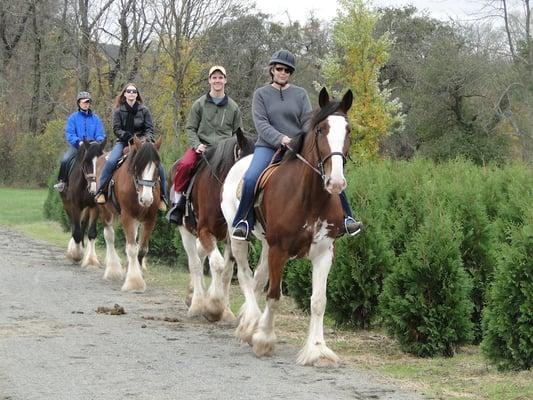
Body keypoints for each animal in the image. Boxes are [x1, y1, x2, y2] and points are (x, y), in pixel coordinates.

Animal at [95, 136, 162, 292]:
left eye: (156, 167)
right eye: (137, 167)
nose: (146, 199)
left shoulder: (150, 219)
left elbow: (141, 249)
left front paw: (138, 273)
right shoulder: (127, 217)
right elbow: (131, 248)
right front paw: (134, 281)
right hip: (105, 212)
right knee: (109, 236)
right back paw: (112, 270)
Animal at [170, 128, 254, 322]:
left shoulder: (232, 237)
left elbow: (228, 271)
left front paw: (226, 310)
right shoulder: (205, 231)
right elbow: (217, 264)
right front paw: (213, 307)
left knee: (200, 255)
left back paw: (193, 295)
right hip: (185, 230)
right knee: (194, 262)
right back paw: (196, 304)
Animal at [220, 87, 354, 366]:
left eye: (348, 130)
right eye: (321, 129)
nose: (336, 182)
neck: (309, 197)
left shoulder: (324, 253)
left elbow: (318, 301)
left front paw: (317, 350)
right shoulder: (279, 250)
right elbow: (274, 295)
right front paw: (264, 339)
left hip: (265, 244)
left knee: (258, 277)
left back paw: (251, 324)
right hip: (238, 237)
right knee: (245, 275)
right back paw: (251, 322)